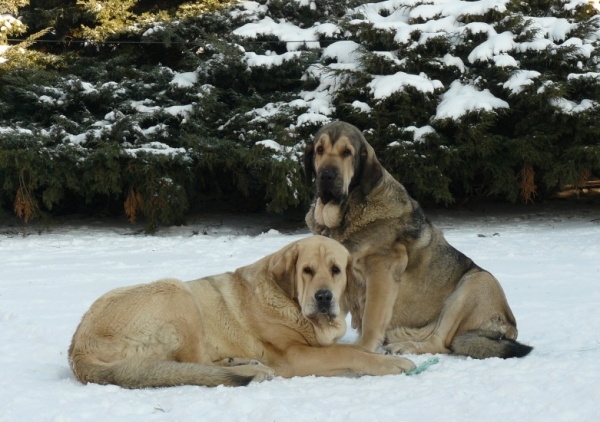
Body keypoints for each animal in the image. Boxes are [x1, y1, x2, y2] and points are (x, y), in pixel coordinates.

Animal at [68, 236, 414, 388]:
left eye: (336, 270)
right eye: (307, 270)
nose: (324, 296)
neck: (290, 303)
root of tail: (77, 348)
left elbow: (355, 349)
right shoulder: (294, 356)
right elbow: (349, 353)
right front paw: (390, 363)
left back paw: (240, 361)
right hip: (178, 293)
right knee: (195, 364)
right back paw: (251, 370)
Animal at [304, 121, 536, 360]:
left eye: (347, 153)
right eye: (319, 150)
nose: (326, 175)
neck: (348, 212)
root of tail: (509, 328)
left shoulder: (381, 271)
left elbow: (371, 319)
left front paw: (363, 350)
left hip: (476, 283)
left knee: (441, 342)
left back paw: (404, 347)